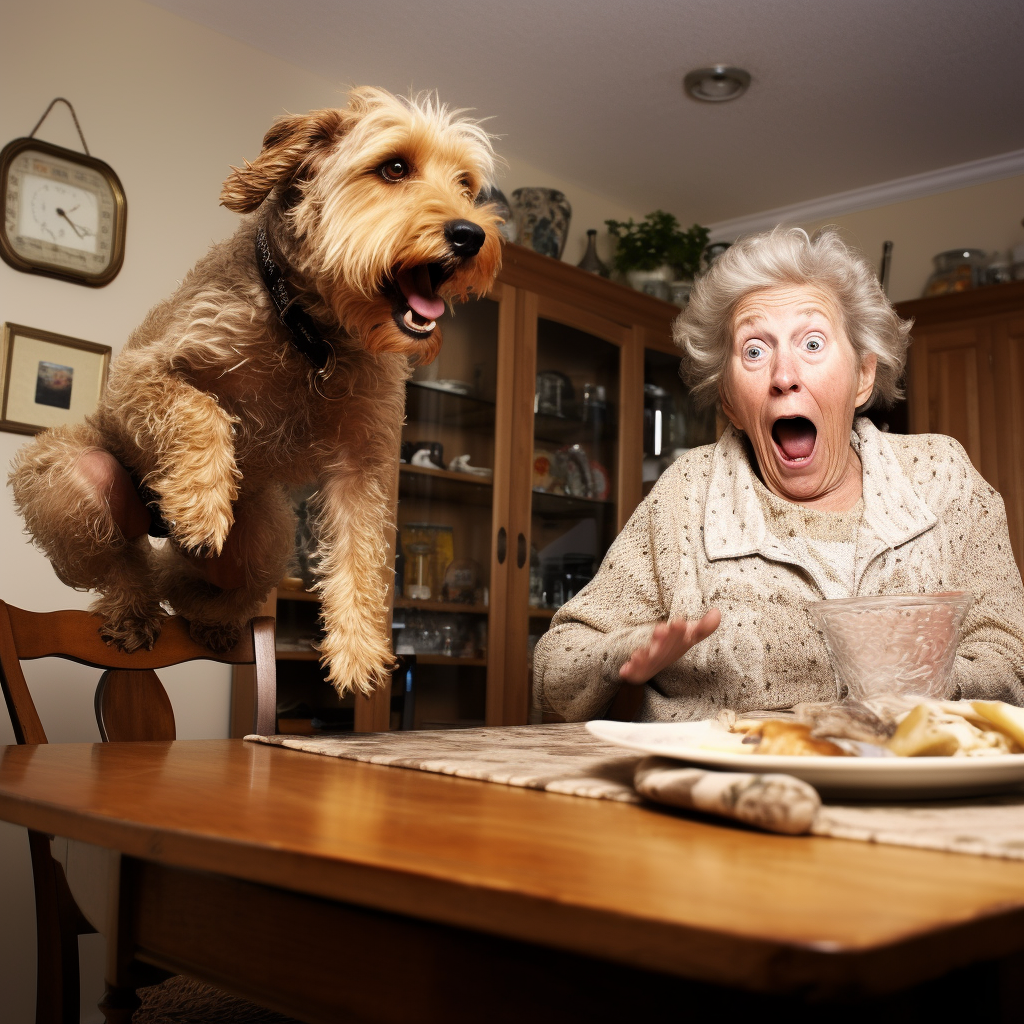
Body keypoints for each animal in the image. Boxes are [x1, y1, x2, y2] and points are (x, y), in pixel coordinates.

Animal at [8, 88, 503, 696]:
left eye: (466, 184)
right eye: (394, 168)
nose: (471, 235)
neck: (312, 335)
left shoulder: (364, 460)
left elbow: (362, 553)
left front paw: (358, 651)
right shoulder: (138, 377)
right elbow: (200, 408)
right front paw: (198, 502)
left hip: (264, 535)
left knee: (189, 585)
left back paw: (212, 623)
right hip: (74, 479)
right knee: (129, 566)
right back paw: (134, 610)